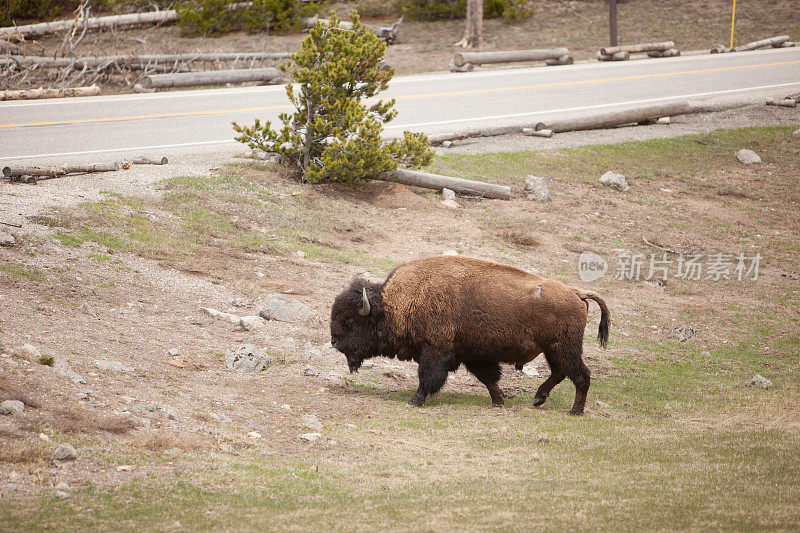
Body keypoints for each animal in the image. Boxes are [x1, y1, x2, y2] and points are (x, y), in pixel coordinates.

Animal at [328, 256, 608, 414]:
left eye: (352, 321)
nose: (334, 341)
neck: (397, 303)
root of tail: (576, 293)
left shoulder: (435, 351)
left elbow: (427, 378)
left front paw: (415, 401)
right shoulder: (473, 353)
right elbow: (488, 378)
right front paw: (498, 401)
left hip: (564, 347)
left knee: (580, 375)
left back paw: (574, 411)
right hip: (554, 349)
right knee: (561, 372)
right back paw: (539, 398)